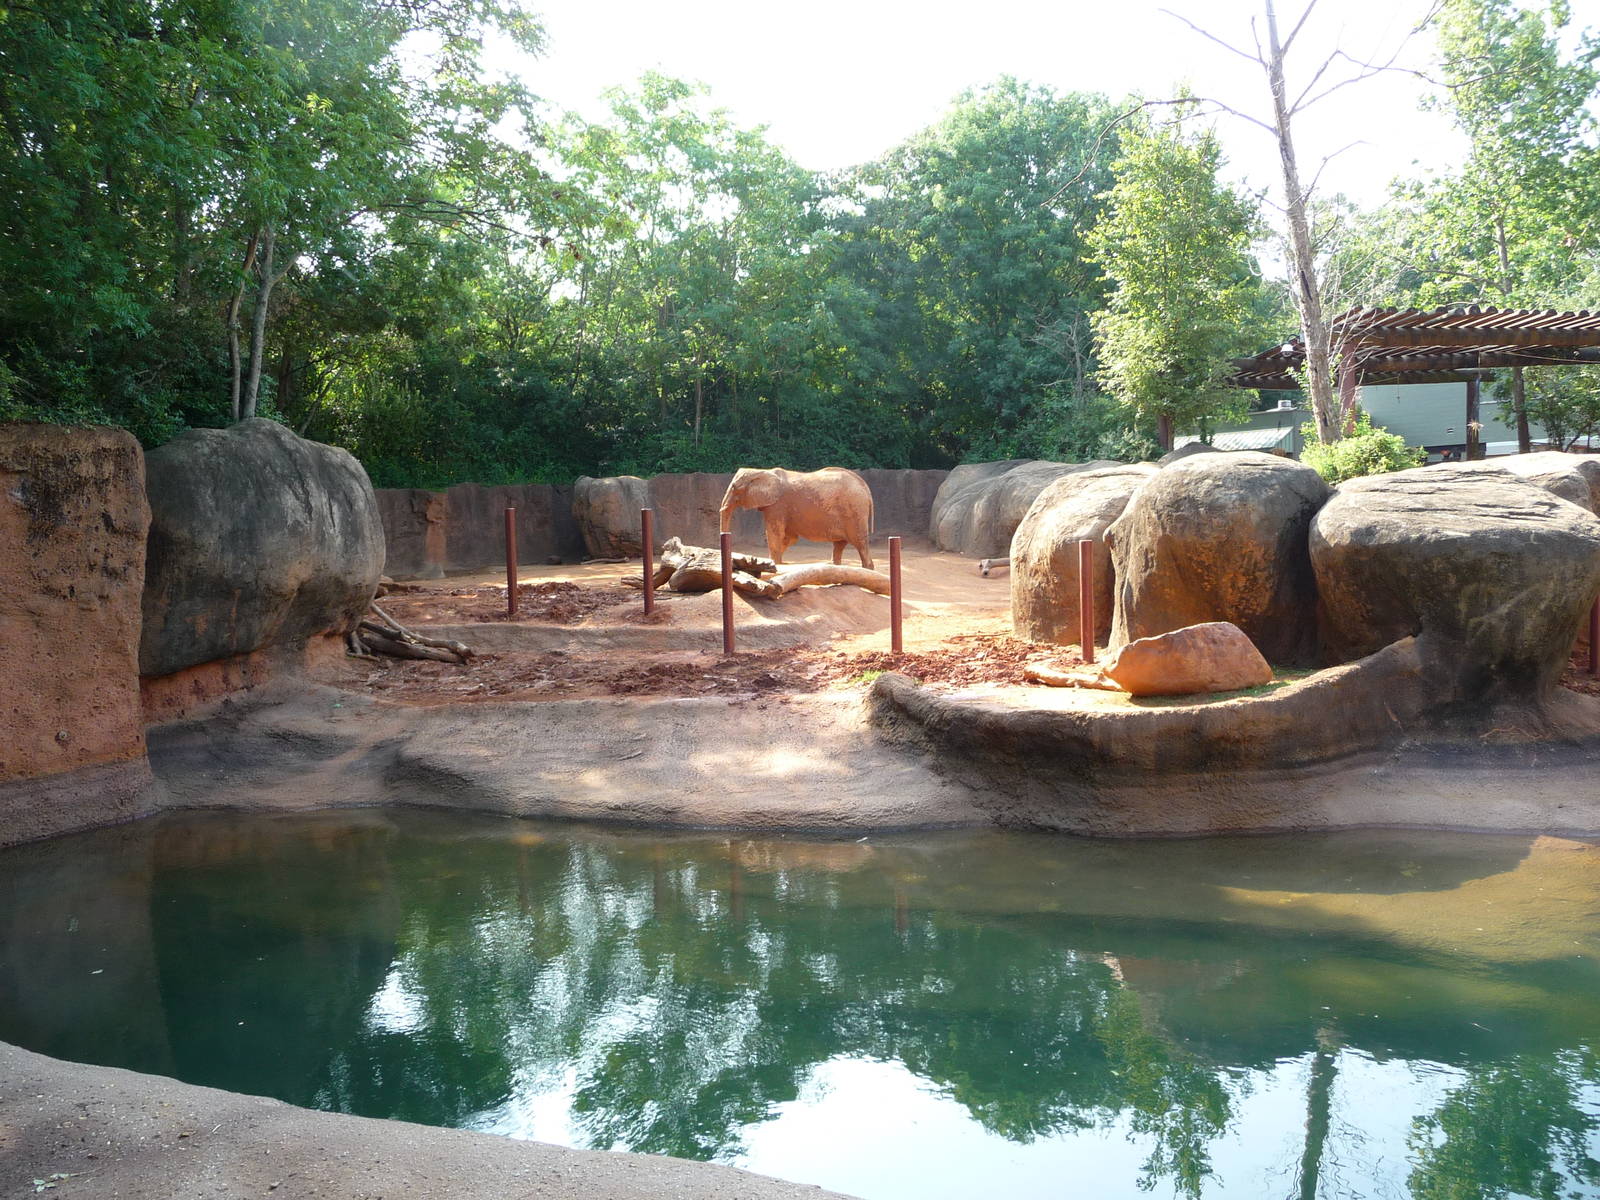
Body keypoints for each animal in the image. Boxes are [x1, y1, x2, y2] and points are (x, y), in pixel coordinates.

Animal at [719, 467, 875, 570]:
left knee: (859, 542)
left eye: (734, 487)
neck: (761, 471)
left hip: (855, 511)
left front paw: (773, 563)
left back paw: (867, 569)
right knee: (840, 544)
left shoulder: (777, 505)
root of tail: (866, 488)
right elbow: (790, 537)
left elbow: (775, 533)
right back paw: (835, 566)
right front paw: (775, 563)